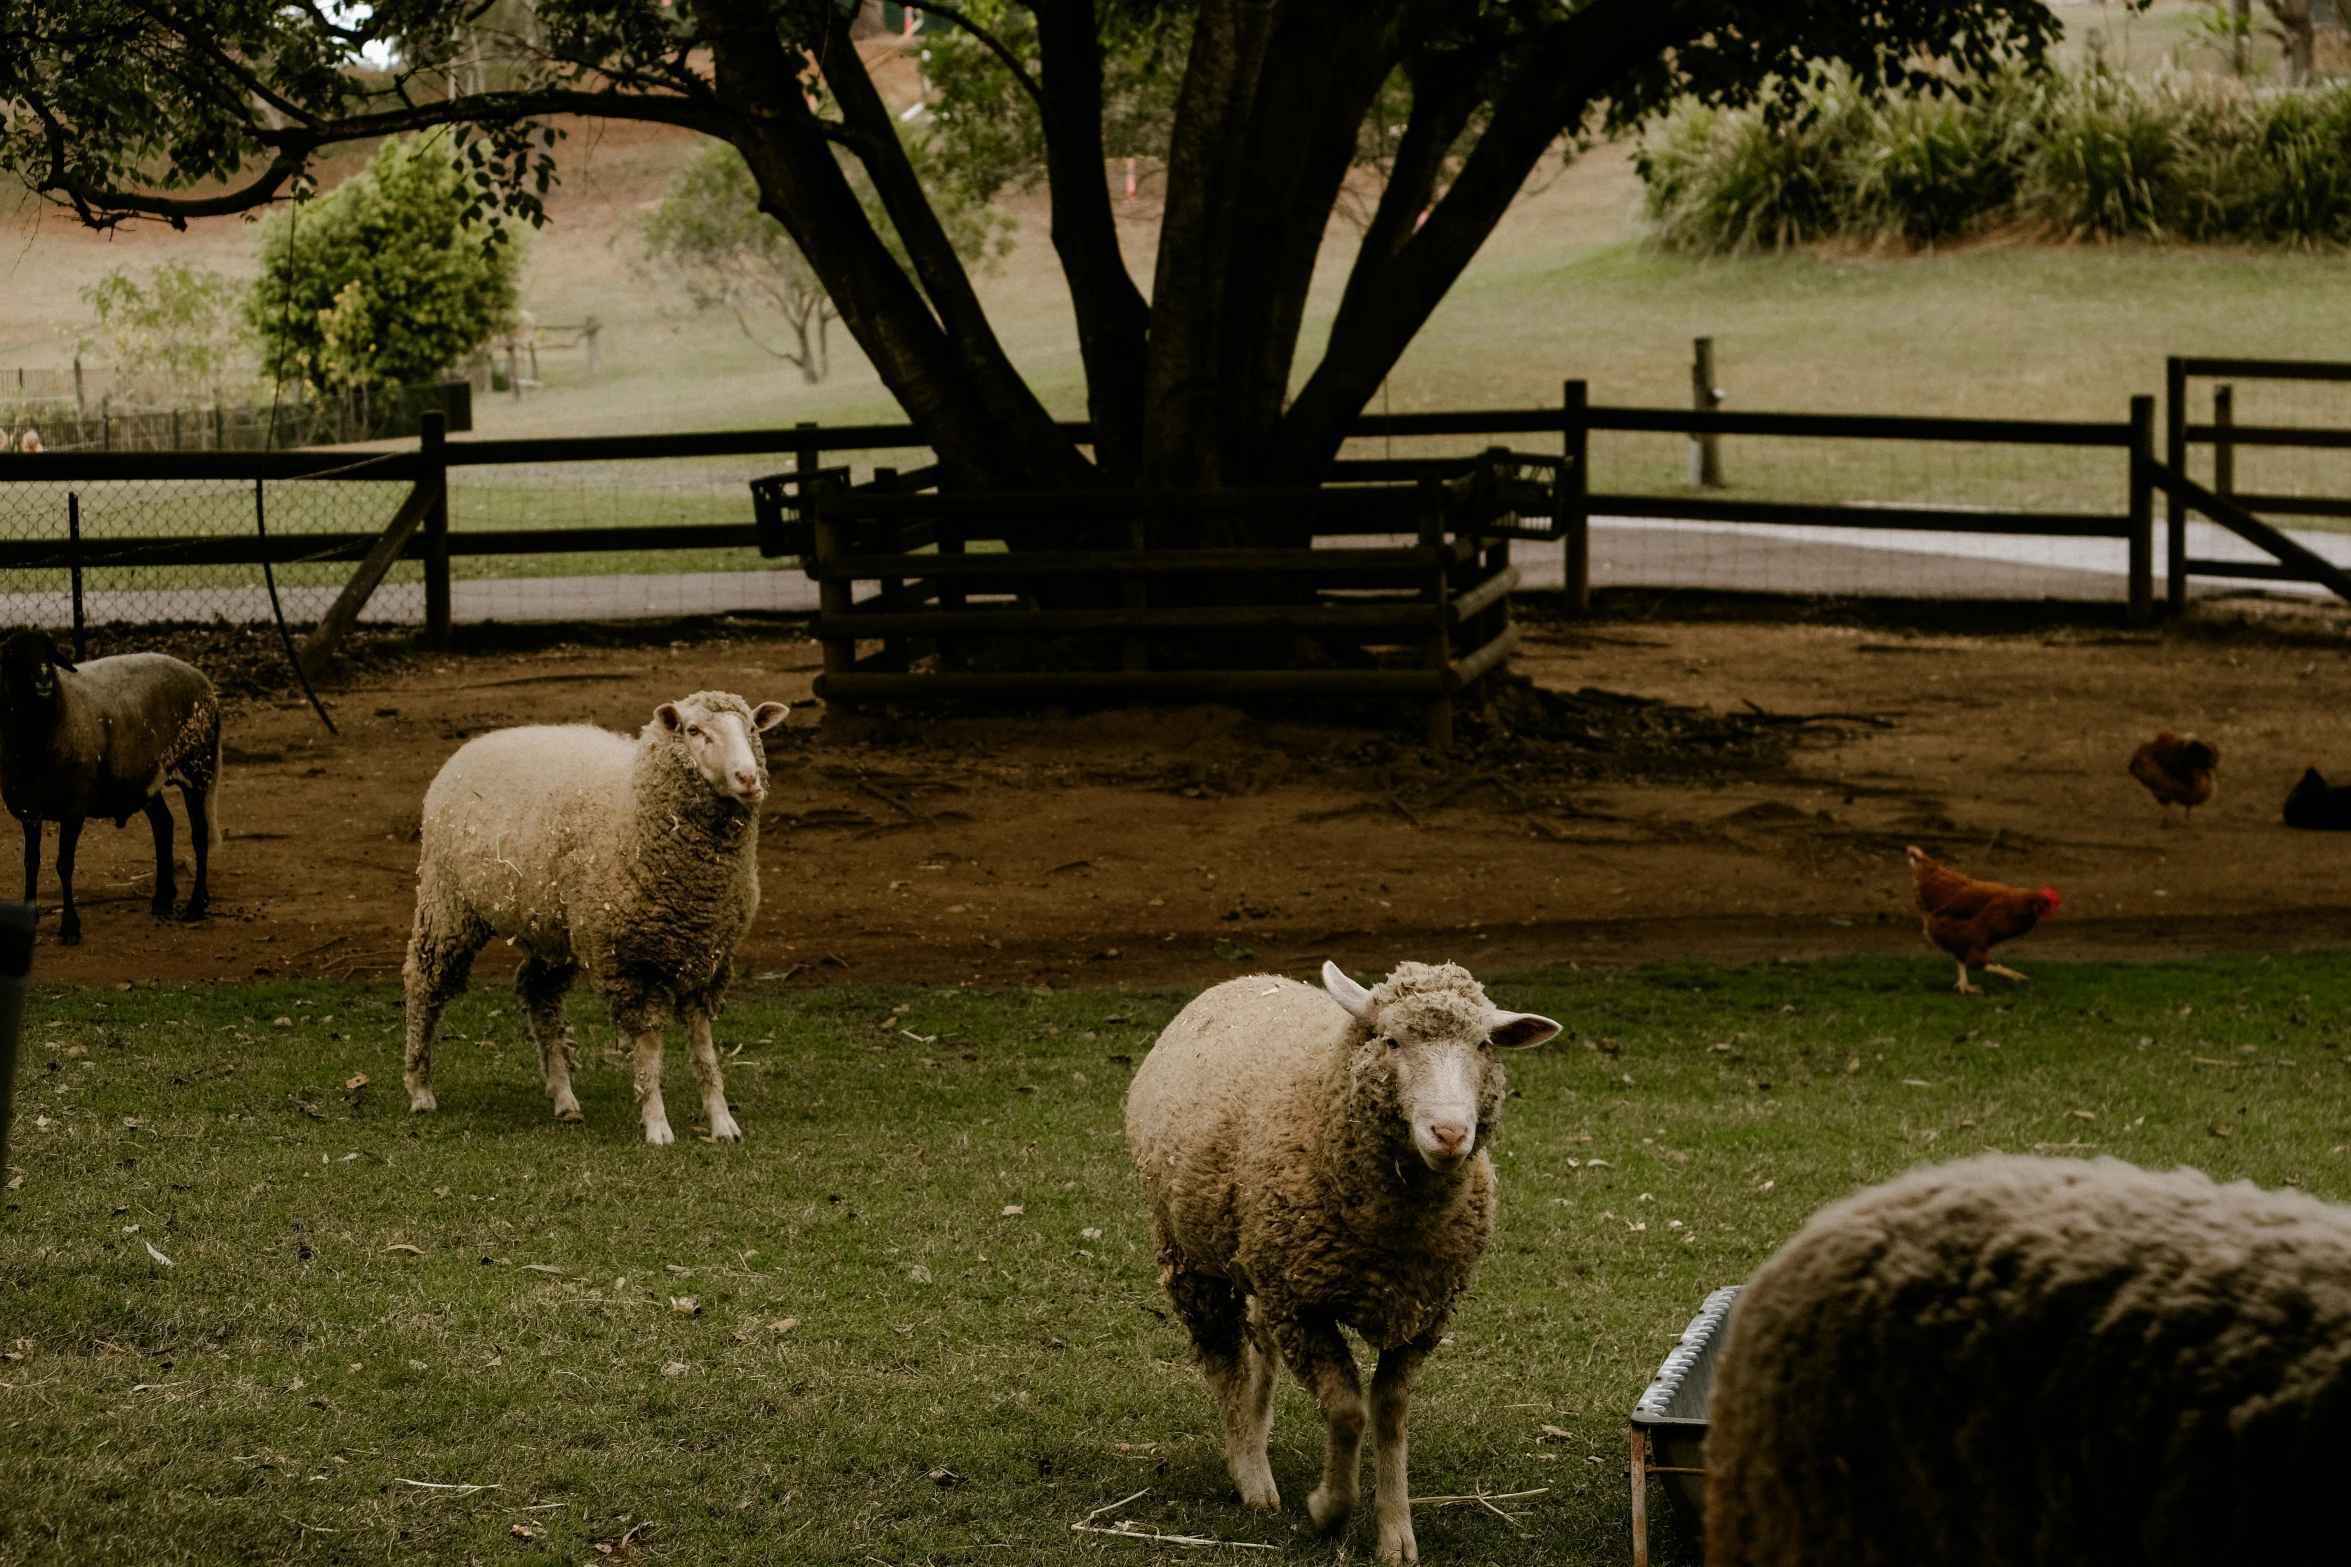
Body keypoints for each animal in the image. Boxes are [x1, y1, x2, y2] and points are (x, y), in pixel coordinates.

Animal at [0, 624, 220, 944]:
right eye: (13, 655)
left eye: (50, 654)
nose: (43, 679)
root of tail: (202, 678)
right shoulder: (30, 810)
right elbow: (31, 862)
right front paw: (31, 917)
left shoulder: (73, 807)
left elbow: (64, 865)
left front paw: (70, 927)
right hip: (147, 779)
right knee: (164, 825)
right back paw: (162, 900)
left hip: (197, 767)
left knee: (199, 834)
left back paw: (195, 904)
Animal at [404, 690, 789, 1146]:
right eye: (693, 730)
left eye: (751, 728)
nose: (749, 779)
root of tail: (478, 742)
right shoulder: (627, 962)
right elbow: (649, 1048)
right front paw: (657, 1123)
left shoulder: (705, 960)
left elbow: (704, 1047)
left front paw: (721, 1120)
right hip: (447, 901)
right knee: (424, 984)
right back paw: (420, 1088)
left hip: (549, 927)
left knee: (539, 993)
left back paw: (563, 1097)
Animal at [1123, 963, 1551, 1559]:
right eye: (1390, 1040)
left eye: (1484, 1044)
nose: (1449, 1134)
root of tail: (1247, 977)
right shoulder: (1304, 1308)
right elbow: (1348, 1411)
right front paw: (1329, 1509)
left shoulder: (1421, 1313)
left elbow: (1390, 1414)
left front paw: (1396, 1531)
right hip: (1192, 1257)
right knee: (1224, 1361)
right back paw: (1251, 1471)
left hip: (1264, 1261)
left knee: (1259, 1342)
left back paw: (1257, 1427)